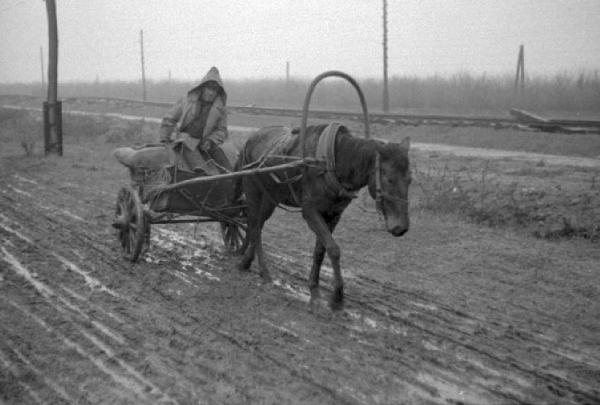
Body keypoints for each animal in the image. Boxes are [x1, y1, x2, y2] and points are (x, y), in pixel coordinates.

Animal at [234, 121, 412, 308]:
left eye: (410, 179)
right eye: (389, 179)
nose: (401, 227)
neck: (331, 163)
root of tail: (250, 139)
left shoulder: (334, 214)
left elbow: (320, 250)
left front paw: (314, 289)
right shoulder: (310, 212)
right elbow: (333, 249)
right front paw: (337, 297)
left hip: (270, 199)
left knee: (258, 226)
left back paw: (246, 262)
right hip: (252, 192)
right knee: (254, 227)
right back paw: (264, 272)